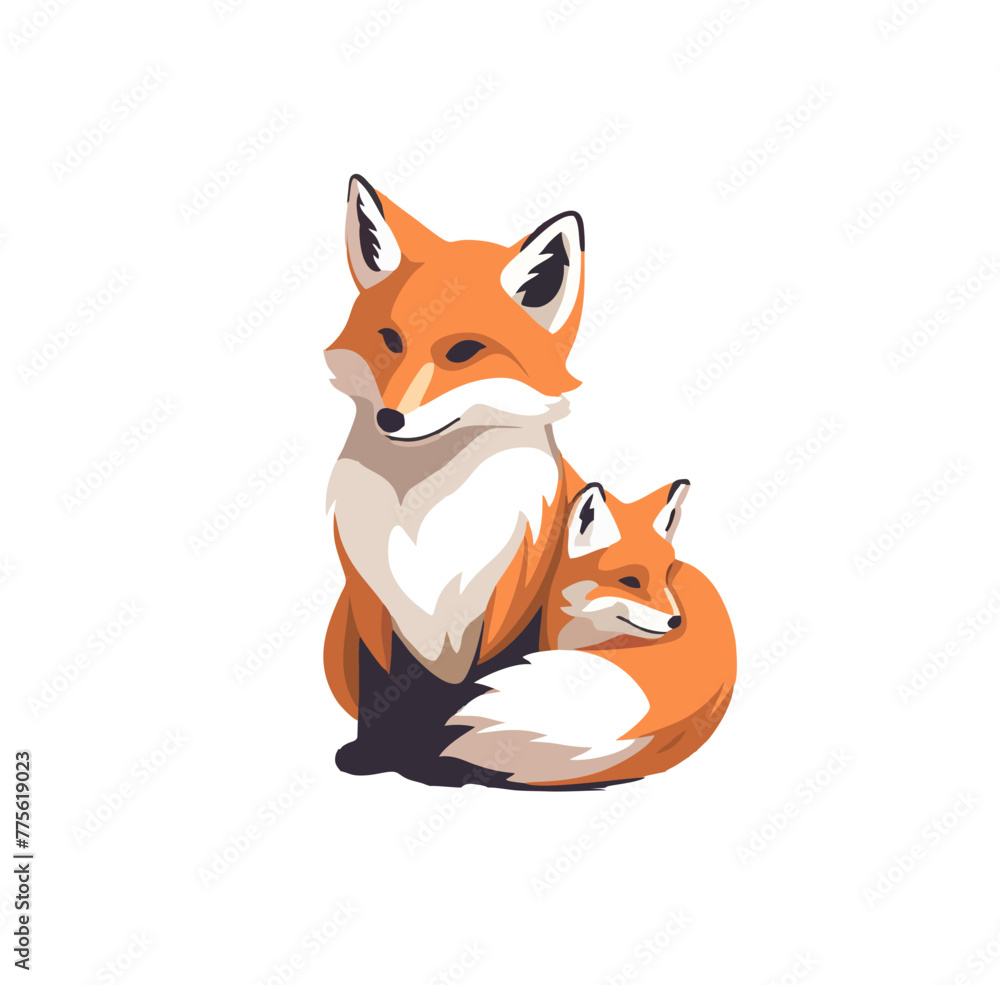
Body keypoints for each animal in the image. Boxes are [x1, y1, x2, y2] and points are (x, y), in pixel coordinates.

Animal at [323, 175, 588, 752]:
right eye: (391, 340)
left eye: (464, 352)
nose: (390, 416)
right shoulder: (374, 604)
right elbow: (384, 688)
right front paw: (374, 756)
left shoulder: (510, 600)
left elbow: (481, 691)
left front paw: (463, 760)